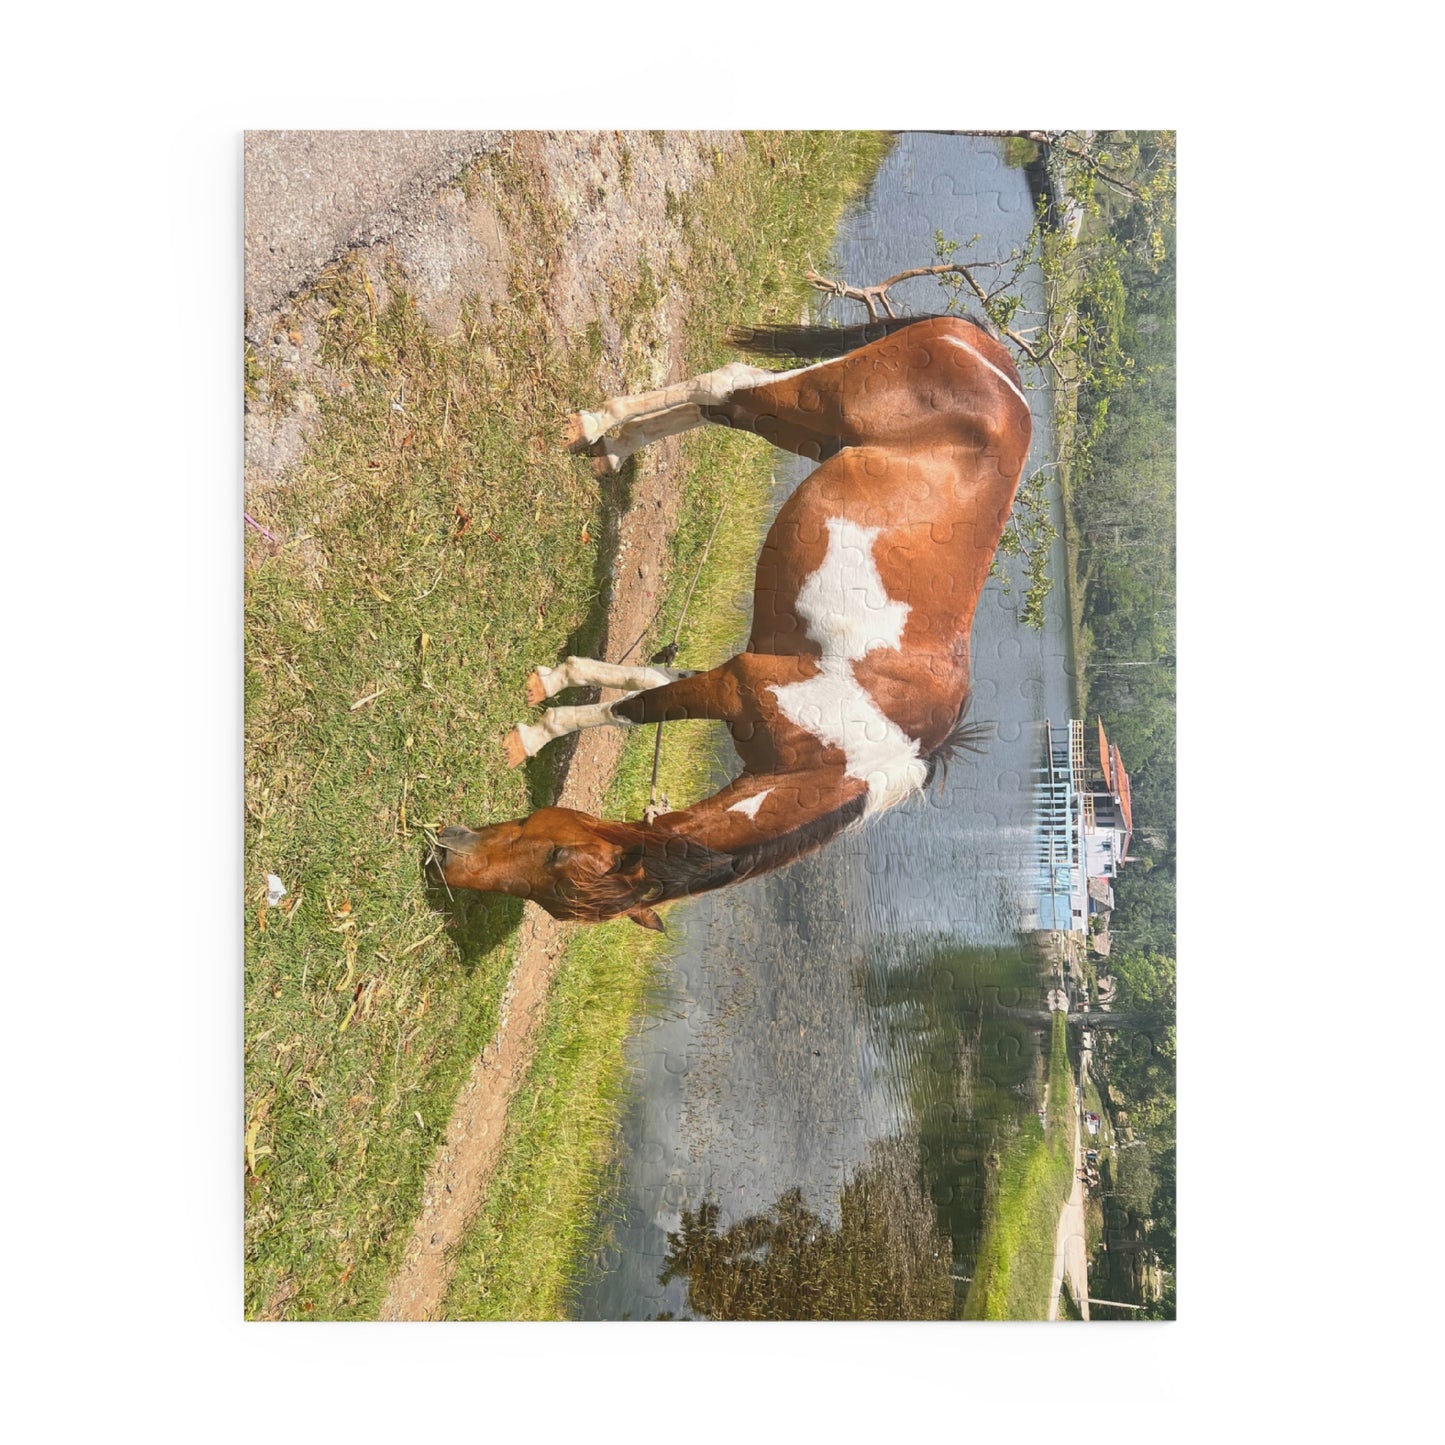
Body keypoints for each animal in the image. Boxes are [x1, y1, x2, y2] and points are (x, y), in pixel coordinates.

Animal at [431, 313, 1033, 930]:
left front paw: (555, 687)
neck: (844, 758)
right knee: (725, 384)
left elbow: (642, 691)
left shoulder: (735, 675)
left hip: (801, 429)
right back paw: (595, 424)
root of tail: (991, 356)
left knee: (718, 409)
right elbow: (635, 708)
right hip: (813, 400)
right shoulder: (734, 685)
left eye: (556, 867)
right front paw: (533, 733)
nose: (444, 860)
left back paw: (614, 449)